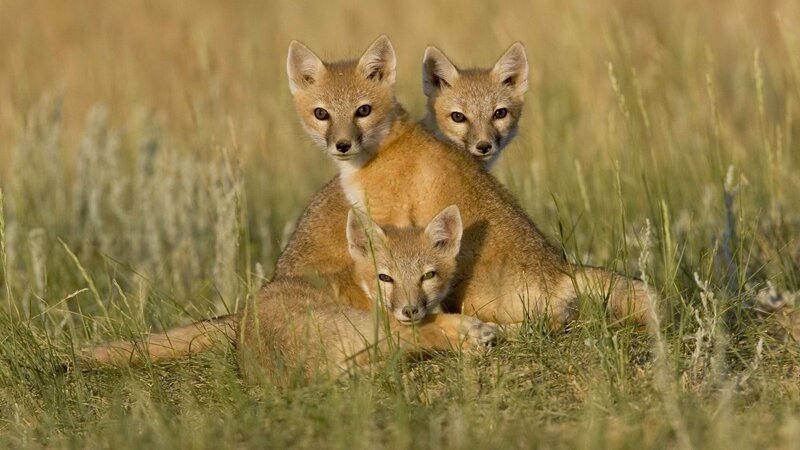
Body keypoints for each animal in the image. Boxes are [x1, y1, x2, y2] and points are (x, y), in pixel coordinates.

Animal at [77, 205, 497, 382]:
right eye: (385, 278)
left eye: (428, 275)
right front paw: (466, 329)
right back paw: (471, 333)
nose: (410, 309)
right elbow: (432, 327)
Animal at [277, 35, 660, 330]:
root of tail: (560, 267)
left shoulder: (393, 221)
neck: (382, 152)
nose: (342, 145)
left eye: (363, 111)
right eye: (321, 114)